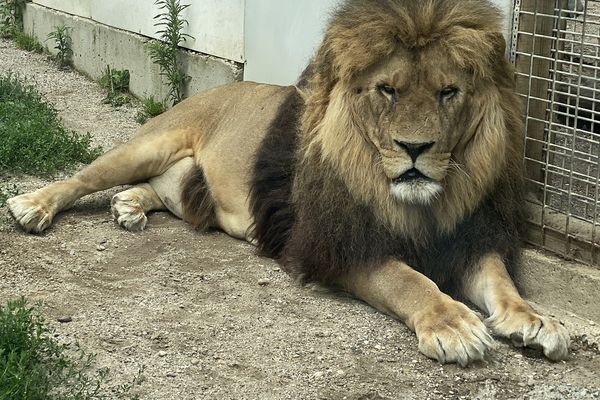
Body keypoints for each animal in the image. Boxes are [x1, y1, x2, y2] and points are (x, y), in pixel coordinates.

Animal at [5, 0, 568, 366]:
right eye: (387, 90)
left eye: (448, 92)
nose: (415, 148)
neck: (422, 203)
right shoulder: (333, 243)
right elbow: (406, 279)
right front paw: (453, 323)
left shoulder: (466, 238)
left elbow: (500, 279)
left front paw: (536, 319)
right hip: (146, 145)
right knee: (82, 177)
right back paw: (33, 205)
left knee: (162, 190)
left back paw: (130, 207)